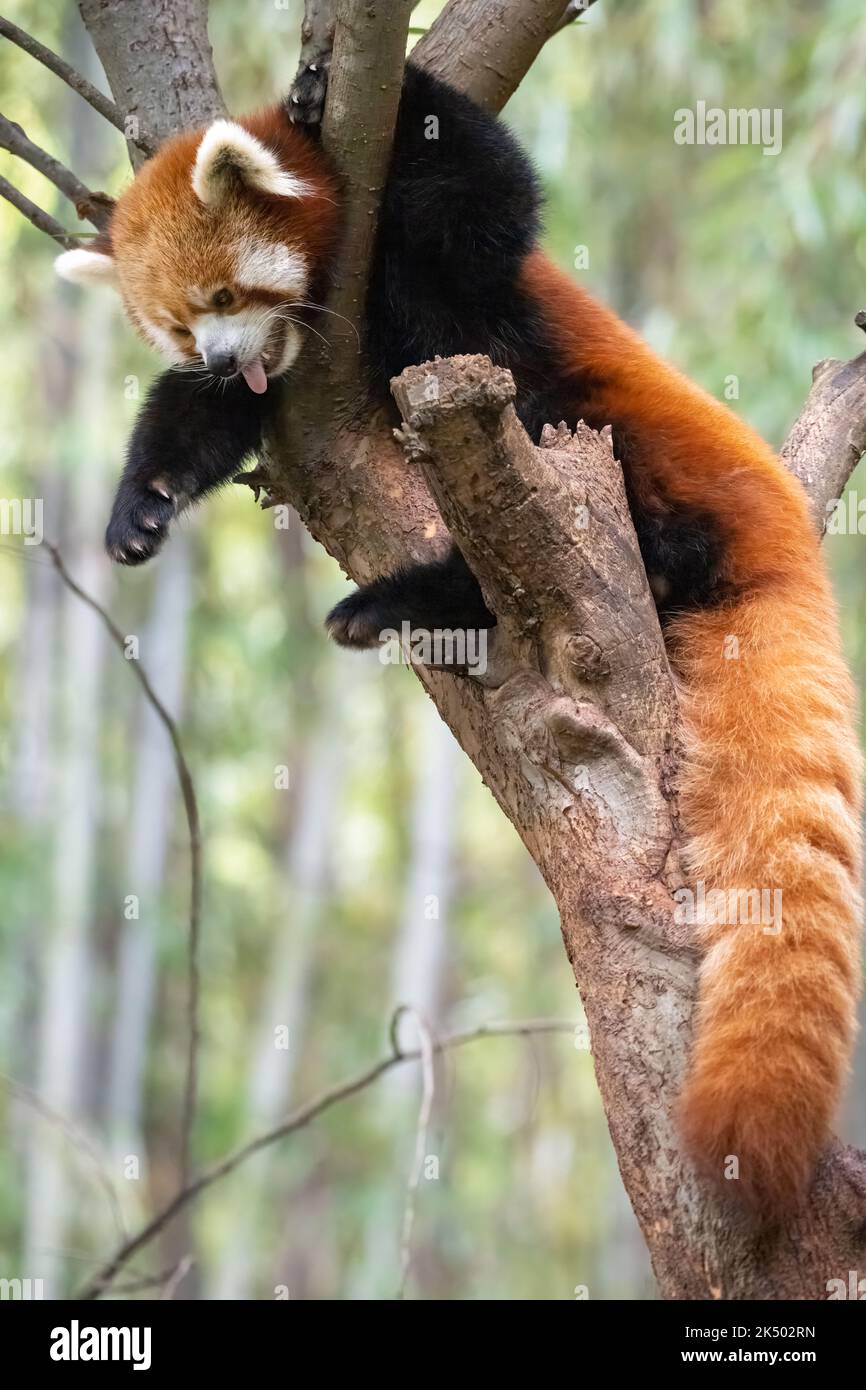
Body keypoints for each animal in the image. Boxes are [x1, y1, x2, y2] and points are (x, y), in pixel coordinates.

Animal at [57, 59, 861, 1212]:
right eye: (175, 325)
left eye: (222, 298)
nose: (220, 356)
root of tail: (782, 524)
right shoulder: (285, 384)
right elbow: (199, 421)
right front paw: (142, 505)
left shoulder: (447, 263)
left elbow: (486, 207)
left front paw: (349, 88)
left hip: (620, 438)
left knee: (603, 491)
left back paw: (417, 596)